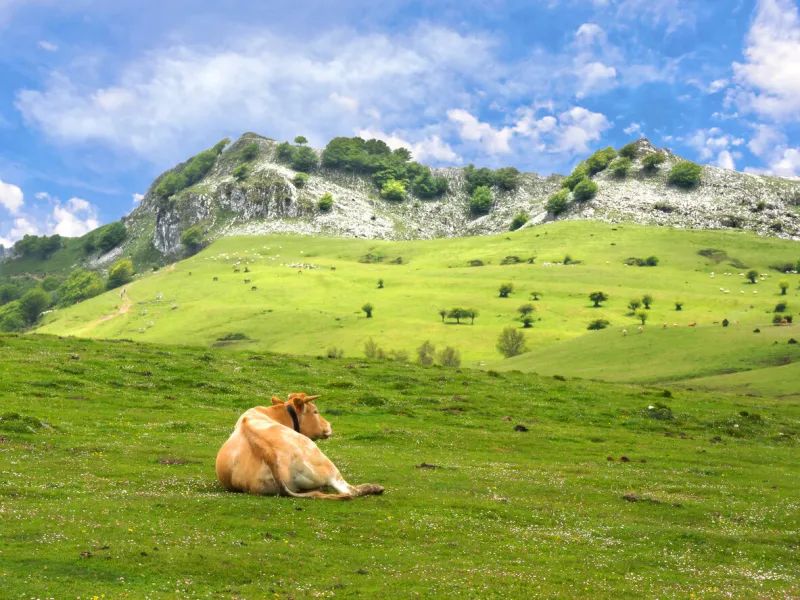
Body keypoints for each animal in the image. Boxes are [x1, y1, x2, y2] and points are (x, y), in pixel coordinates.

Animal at [215, 393, 384, 500]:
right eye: (315, 411)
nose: (330, 425)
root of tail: (267, 451)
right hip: (325, 462)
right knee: (348, 489)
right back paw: (375, 487)